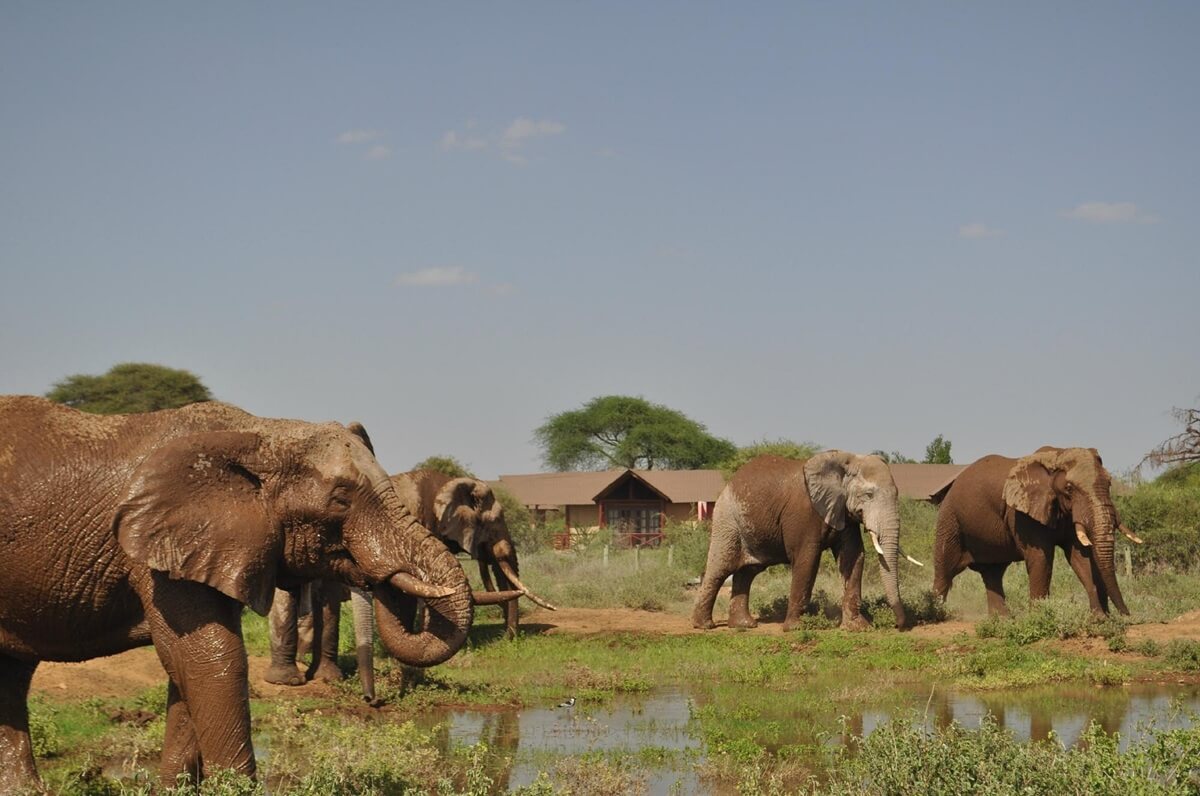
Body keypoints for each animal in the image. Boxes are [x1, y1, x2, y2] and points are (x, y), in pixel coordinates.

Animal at [0, 396, 477, 790]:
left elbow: (189, 669)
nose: (373, 702)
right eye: (341, 499)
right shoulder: (158, 552)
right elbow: (212, 659)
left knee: (12, 675)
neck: (259, 434)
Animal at [691, 452, 915, 632]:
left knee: (748, 572)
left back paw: (744, 625)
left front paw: (858, 628)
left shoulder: (842, 511)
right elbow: (807, 558)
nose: (898, 625)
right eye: (869, 495)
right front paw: (796, 628)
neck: (846, 460)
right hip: (726, 520)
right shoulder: (804, 512)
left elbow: (853, 556)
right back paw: (704, 626)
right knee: (721, 568)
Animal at [932, 446, 1140, 616]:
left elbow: (1080, 557)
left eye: (1109, 483)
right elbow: (1041, 559)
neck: (1057, 454)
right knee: (944, 570)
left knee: (993, 572)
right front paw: (1040, 618)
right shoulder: (1022, 515)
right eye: (1069, 488)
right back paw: (935, 615)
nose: (1127, 615)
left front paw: (1099, 619)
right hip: (949, 519)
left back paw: (1002, 621)